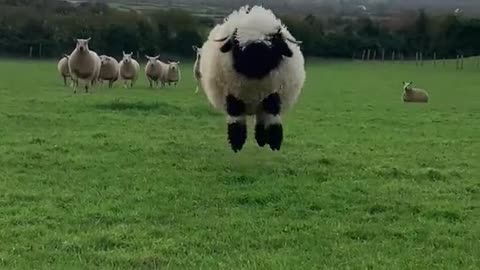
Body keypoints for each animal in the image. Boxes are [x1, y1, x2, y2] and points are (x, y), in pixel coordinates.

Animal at [200, 5, 306, 152]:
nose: (256, 55)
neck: (255, 80)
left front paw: (275, 143)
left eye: (272, 40)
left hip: (262, 102)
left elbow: (273, 117)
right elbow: (236, 119)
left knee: (262, 119)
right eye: (237, 42)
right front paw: (236, 144)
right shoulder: (232, 95)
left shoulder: (273, 94)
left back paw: (261, 140)